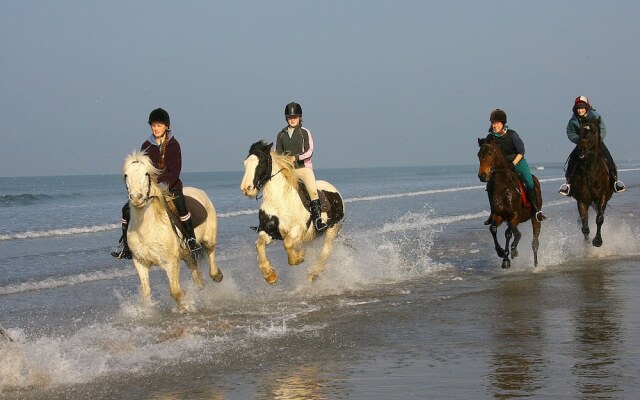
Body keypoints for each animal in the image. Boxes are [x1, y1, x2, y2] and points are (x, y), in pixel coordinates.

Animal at [122, 152, 222, 308]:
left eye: (146, 174)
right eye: (126, 175)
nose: (137, 198)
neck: (146, 228)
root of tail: (200, 192)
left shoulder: (170, 263)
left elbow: (175, 292)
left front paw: (184, 308)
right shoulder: (140, 262)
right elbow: (145, 293)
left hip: (209, 239)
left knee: (211, 253)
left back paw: (217, 275)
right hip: (186, 253)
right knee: (196, 272)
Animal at [239, 141, 342, 284]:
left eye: (262, 162)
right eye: (245, 163)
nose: (246, 188)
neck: (279, 200)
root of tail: (335, 190)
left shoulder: (298, 228)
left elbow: (287, 244)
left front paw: (298, 257)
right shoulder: (269, 231)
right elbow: (259, 245)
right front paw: (269, 274)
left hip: (332, 230)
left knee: (325, 252)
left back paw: (313, 274)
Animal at [478, 138, 544, 268]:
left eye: (490, 153)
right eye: (478, 155)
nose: (482, 175)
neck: (504, 187)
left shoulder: (515, 216)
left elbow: (509, 233)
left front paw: (509, 254)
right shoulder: (499, 216)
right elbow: (493, 229)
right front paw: (501, 252)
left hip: (535, 218)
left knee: (535, 242)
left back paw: (535, 264)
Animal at [568, 116, 612, 247]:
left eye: (593, 132)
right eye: (580, 131)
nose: (581, 150)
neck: (589, 170)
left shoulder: (602, 196)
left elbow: (599, 219)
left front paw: (597, 241)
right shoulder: (582, 200)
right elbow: (584, 224)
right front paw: (587, 242)